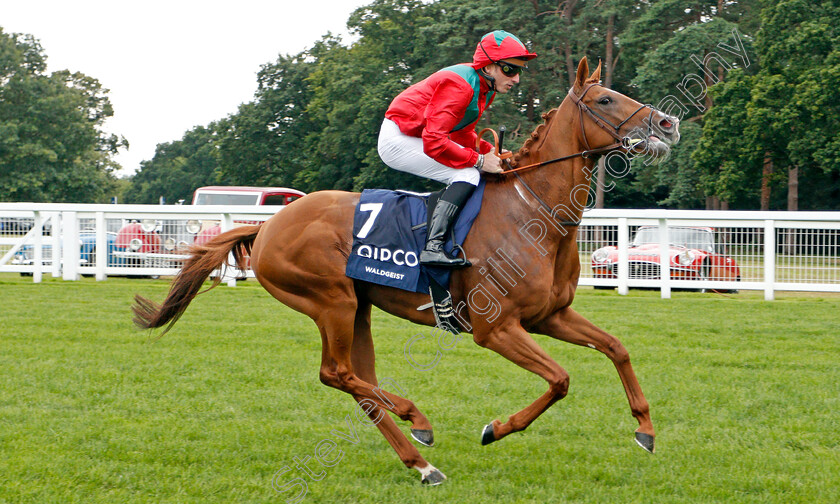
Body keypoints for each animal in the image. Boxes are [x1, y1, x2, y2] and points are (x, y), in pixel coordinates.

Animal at [135, 58, 680, 484]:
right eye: (607, 99)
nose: (668, 123)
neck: (535, 214)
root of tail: (267, 226)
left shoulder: (549, 316)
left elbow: (616, 348)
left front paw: (645, 431)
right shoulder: (497, 328)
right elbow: (561, 379)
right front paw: (495, 428)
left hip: (357, 309)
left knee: (359, 383)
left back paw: (419, 460)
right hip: (331, 301)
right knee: (337, 374)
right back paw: (417, 422)